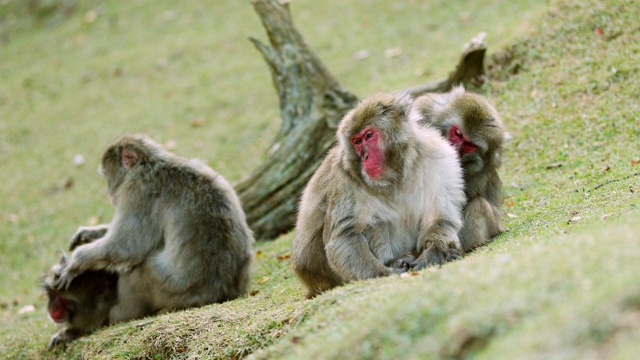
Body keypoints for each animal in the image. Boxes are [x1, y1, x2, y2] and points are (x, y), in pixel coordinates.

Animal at [53, 134, 252, 324]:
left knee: (136, 268)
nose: (109, 192)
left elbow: (126, 247)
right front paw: (88, 233)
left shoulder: (137, 190)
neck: (149, 163)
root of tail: (223, 293)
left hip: (170, 288)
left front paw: (76, 262)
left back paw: (120, 314)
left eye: (108, 178)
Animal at [292, 92, 464, 298]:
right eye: (357, 142)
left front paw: (433, 255)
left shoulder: (439, 155)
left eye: (369, 135)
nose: (365, 158)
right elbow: (345, 235)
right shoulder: (342, 178)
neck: (395, 176)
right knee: (374, 222)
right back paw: (393, 261)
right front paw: (386, 273)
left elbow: (440, 217)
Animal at [416, 86, 510, 252]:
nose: (454, 147)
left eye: (470, 145)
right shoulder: (425, 107)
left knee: (478, 205)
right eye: (458, 133)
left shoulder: (479, 171)